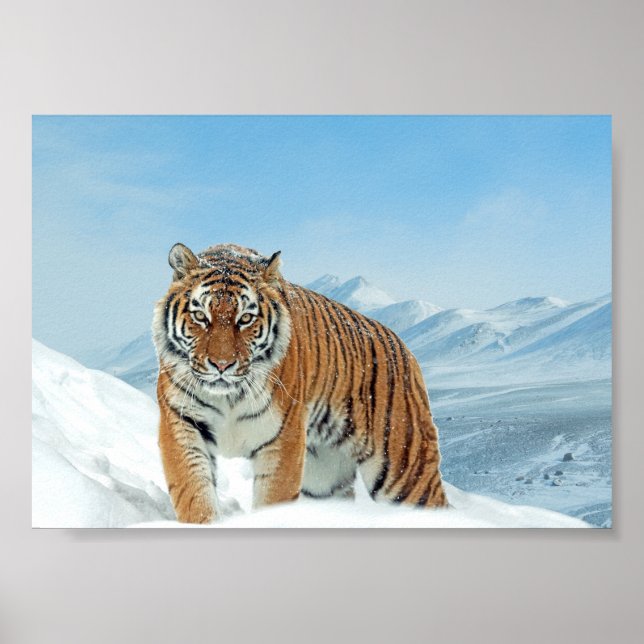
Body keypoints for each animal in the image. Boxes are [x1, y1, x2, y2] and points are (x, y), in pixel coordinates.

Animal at [152, 242, 447, 523]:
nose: (222, 365)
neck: (229, 397)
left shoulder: (282, 438)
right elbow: (194, 492)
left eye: (245, 318)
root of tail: (404, 348)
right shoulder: (182, 423)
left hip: (404, 469)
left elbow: (273, 500)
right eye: (201, 316)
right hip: (324, 478)